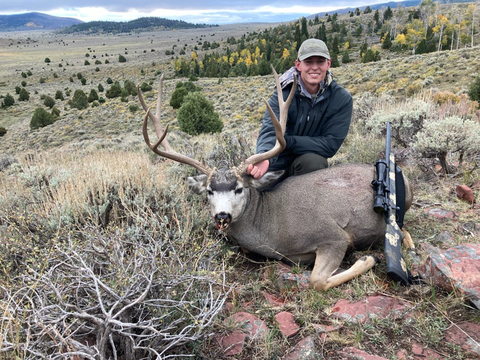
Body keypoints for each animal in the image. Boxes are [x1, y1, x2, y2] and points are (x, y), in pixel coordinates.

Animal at [137, 71, 414, 292]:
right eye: (208, 191)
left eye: (239, 188)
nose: (222, 216)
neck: (272, 227)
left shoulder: (334, 235)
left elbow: (316, 281)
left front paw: (368, 259)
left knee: (402, 228)